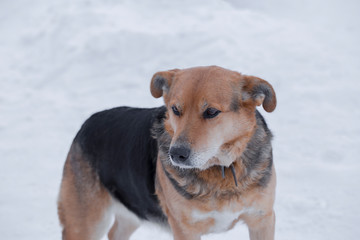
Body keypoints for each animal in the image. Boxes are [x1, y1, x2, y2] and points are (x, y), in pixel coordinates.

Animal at [57, 64, 278, 239]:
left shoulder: (262, 219)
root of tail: (86, 124)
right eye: (175, 109)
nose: (177, 154)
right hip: (85, 222)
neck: (221, 168)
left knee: (115, 232)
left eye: (211, 112)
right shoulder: (184, 229)